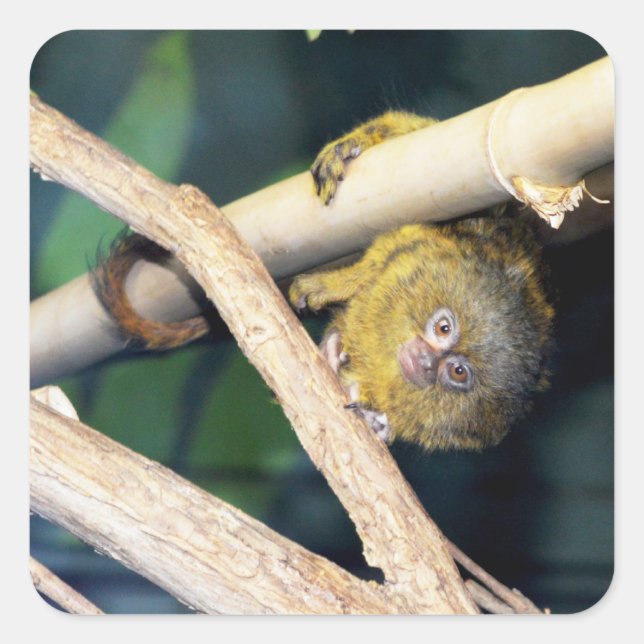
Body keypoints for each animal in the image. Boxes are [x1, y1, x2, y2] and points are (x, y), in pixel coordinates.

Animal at [93, 110, 554, 451]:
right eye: (443, 328)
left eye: (457, 373)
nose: (425, 362)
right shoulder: (452, 229)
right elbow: (414, 138)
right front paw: (349, 149)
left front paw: (375, 417)